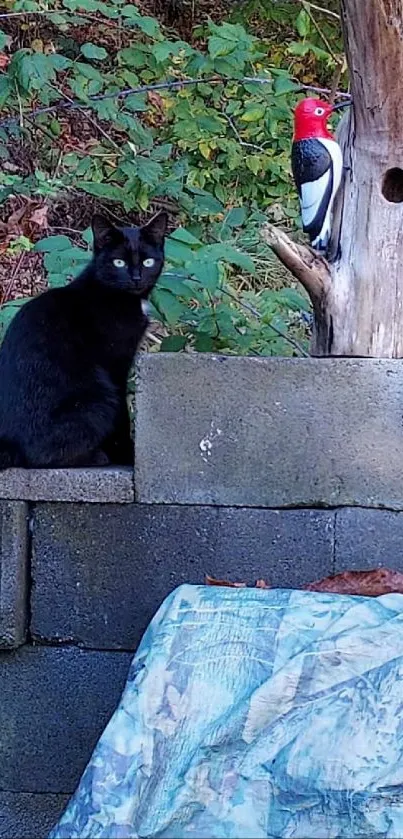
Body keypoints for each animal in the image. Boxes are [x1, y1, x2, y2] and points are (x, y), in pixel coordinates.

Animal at [0, 213, 167, 470]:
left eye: (148, 262)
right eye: (119, 263)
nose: (136, 277)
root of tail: (8, 442)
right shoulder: (114, 365)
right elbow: (122, 414)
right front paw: (125, 452)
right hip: (99, 396)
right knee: (38, 457)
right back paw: (97, 456)